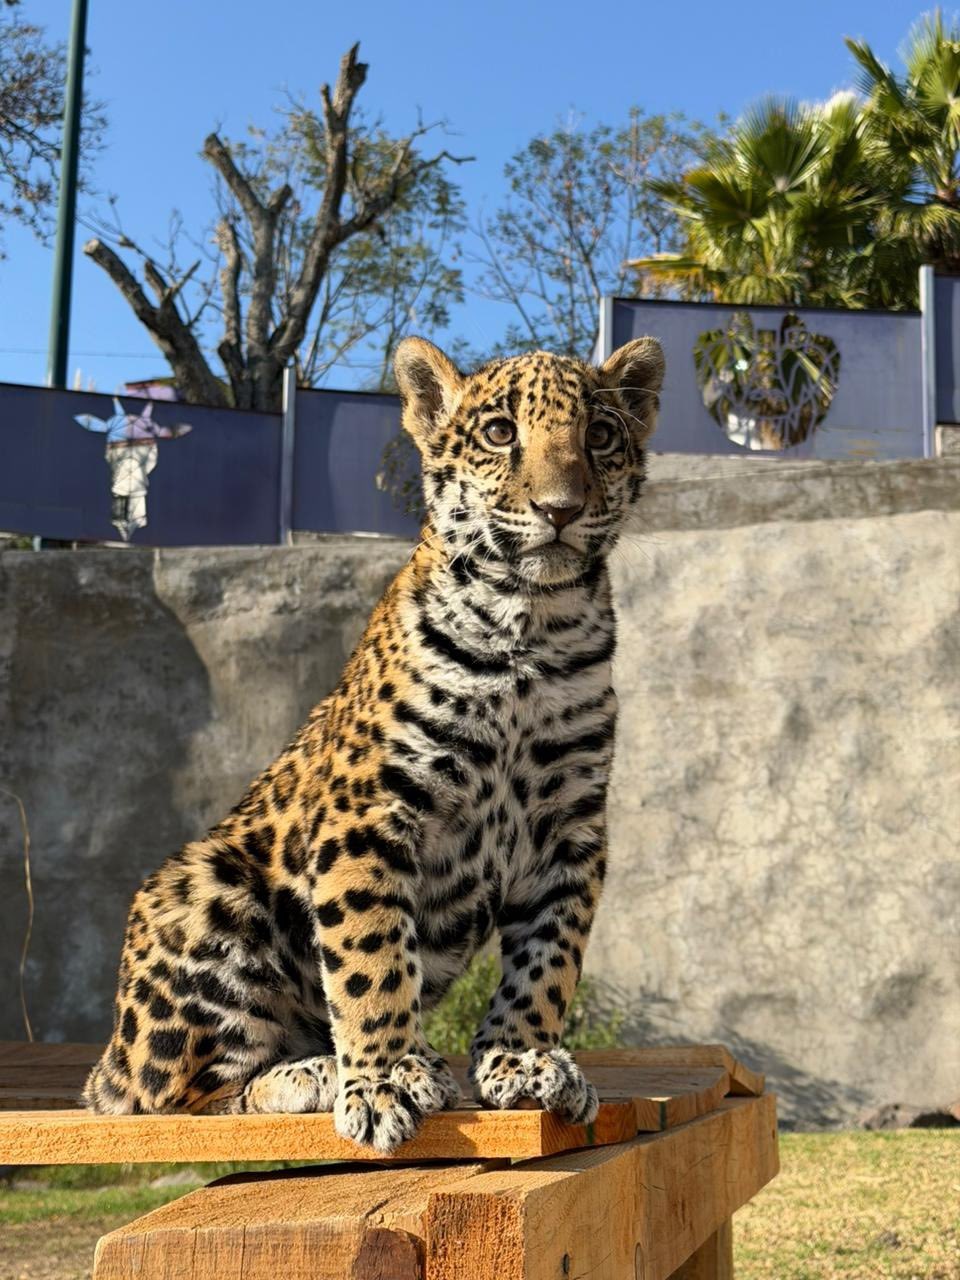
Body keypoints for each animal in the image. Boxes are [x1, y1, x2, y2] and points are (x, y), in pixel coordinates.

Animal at [82, 333, 665, 1153]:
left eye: (602, 435)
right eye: (499, 433)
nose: (561, 509)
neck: (531, 626)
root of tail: (108, 1053)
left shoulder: (570, 828)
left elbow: (549, 958)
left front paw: (523, 1059)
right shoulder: (370, 813)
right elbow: (371, 956)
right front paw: (384, 1079)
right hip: (198, 888)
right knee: (175, 1097)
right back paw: (324, 1072)